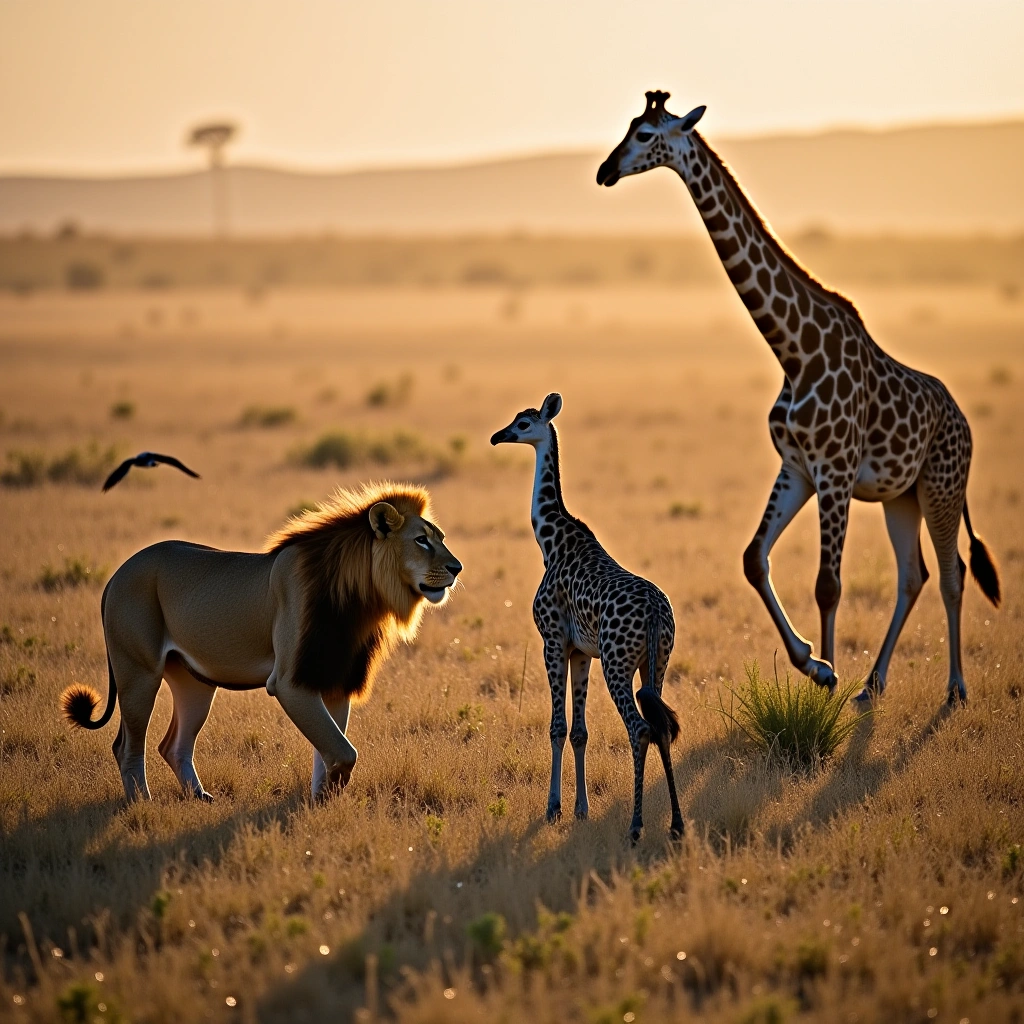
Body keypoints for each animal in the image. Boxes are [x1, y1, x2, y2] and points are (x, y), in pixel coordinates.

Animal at [60, 482, 462, 803]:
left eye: (441, 538)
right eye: (421, 540)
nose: (457, 568)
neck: (362, 601)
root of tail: (116, 574)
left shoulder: (332, 677)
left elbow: (329, 750)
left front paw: (322, 803)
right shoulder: (289, 682)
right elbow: (343, 751)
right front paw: (327, 795)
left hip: (194, 683)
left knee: (172, 746)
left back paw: (200, 798)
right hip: (138, 673)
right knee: (127, 746)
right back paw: (142, 804)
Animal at [491, 393, 684, 841]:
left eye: (524, 424)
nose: (498, 436)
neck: (551, 539)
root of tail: (655, 613)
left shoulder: (553, 641)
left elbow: (557, 727)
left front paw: (553, 809)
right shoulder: (581, 652)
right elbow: (579, 731)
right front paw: (580, 808)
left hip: (618, 664)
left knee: (640, 729)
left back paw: (635, 826)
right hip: (656, 662)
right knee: (661, 727)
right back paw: (676, 825)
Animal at [597, 91, 1000, 705]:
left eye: (644, 134)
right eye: (627, 127)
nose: (605, 171)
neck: (793, 350)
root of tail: (965, 422)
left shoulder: (834, 470)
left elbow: (828, 584)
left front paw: (827, 679)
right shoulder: (797, 468)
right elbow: (753, 559)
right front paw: (816, 665)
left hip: (941, 487)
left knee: (952, 573)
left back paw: (955, 687)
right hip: (900, 496)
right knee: (915, 575)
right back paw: (873, 685)